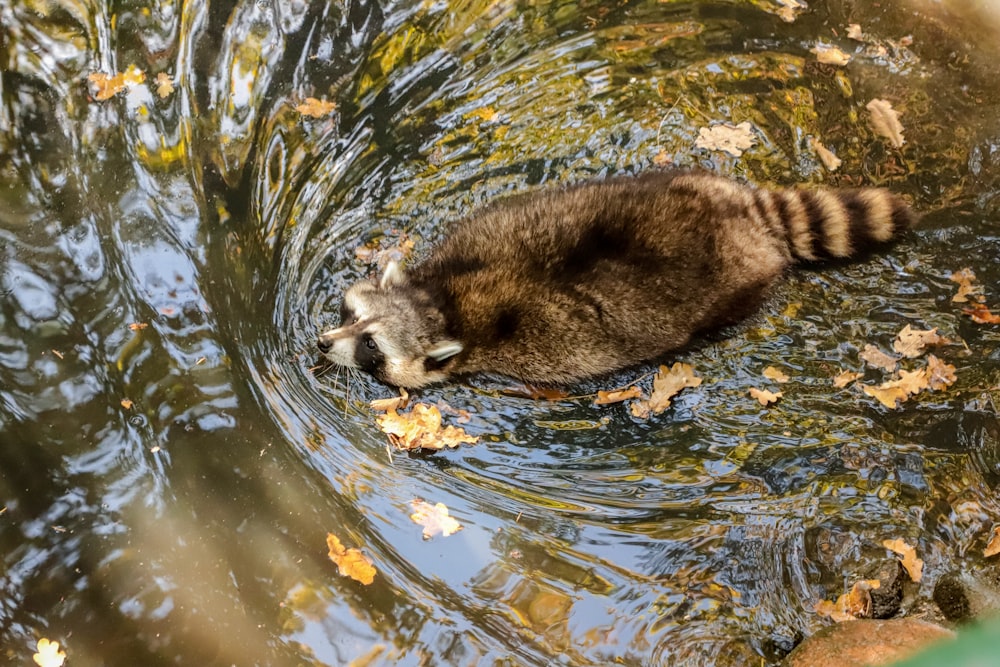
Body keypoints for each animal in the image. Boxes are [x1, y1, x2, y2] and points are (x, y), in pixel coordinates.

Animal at [320, 172, 916, 388]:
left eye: (371, 346)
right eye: (352, 314)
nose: (324, 344)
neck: (443, 301)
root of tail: (744, 215)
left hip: (735, 287)